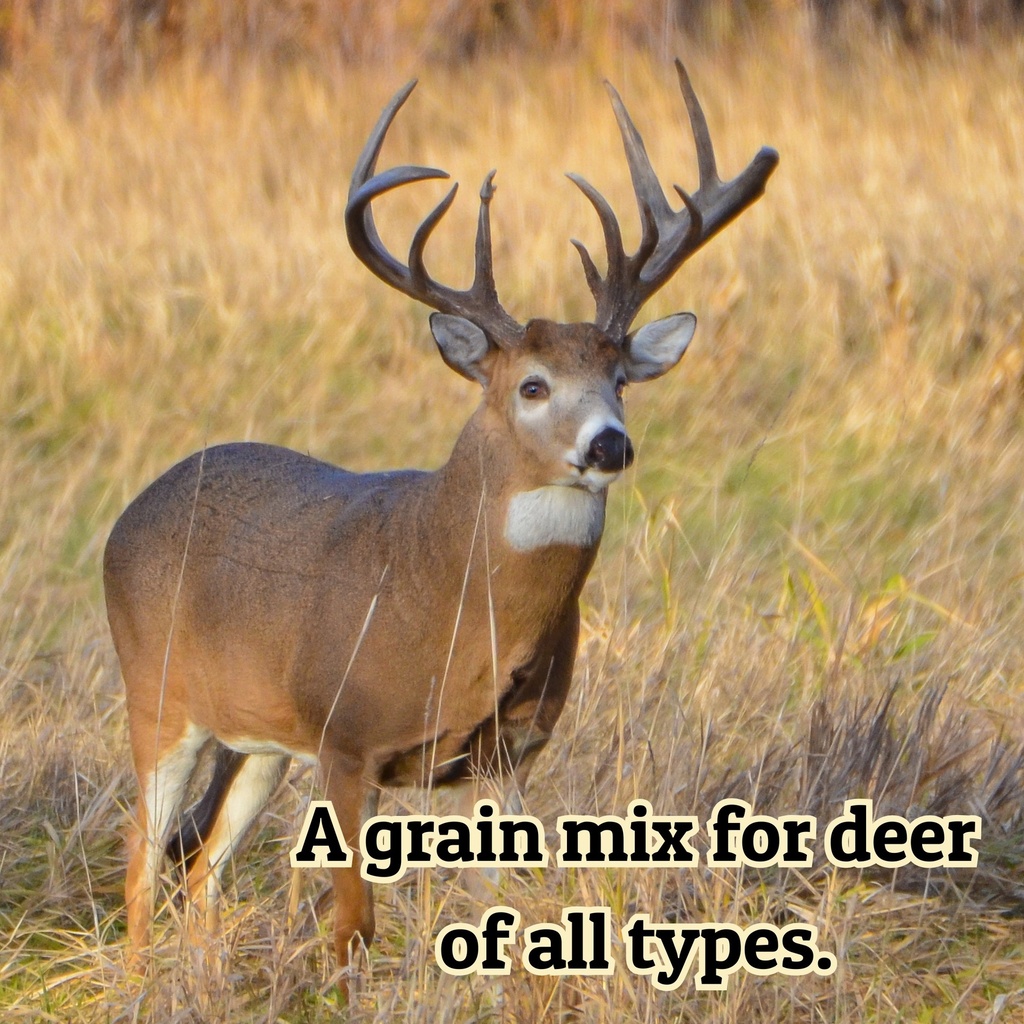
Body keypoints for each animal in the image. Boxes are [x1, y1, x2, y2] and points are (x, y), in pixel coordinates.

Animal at [103, 59, 777, 977]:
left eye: (620, 380)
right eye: (532, 385)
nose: (609, 444)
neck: (454, 598)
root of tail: (130, 513)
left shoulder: (504, 756)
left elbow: (502, 908)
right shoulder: (346, 737)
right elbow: (354, 924)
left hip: (257, 741)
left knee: (201, 872)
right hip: (159, 693)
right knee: (142, 860)